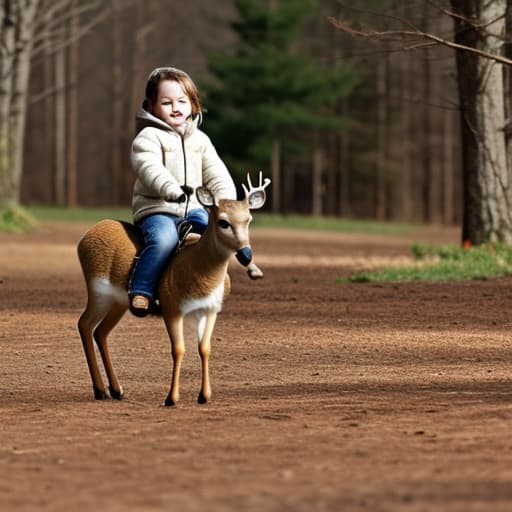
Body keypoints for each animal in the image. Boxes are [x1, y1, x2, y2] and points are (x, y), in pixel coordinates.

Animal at [77, 174, 270, 406]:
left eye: (248, 220)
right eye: (223, 222)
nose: (246, 254)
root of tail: (84, 238)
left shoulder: (210, 309)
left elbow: (204, 348)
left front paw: (204, 395)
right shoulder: (171, 307)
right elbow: (178, 349)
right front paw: (171, 398)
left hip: (119, 301)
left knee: (101, 331)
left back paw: (115, 390)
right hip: (98, 291)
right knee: (85, 324)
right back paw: (100, 390)